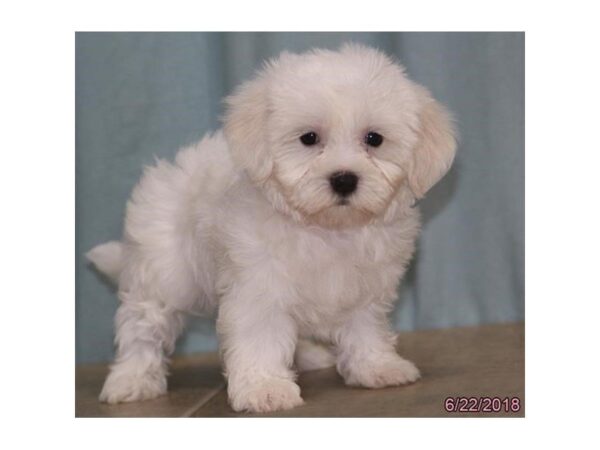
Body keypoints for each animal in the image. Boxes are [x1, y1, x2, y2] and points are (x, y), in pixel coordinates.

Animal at [86, 44, 458, 414]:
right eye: (309, 138)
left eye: (374, 139)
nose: (344, 179)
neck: (326, 229)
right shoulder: (258, 285)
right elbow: (260, 335)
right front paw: (264, 388)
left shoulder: (365, 286)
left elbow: (365, 326)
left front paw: (376, 365)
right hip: (165, 271)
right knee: (143, 325)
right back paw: (131, 379)